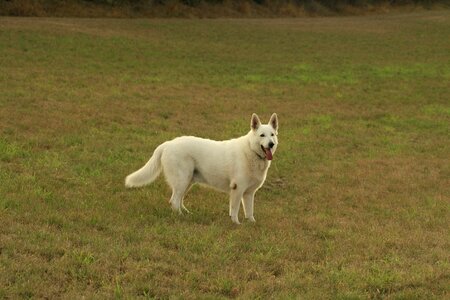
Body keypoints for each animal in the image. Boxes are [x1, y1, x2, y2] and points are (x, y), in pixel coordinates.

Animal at [124, 113, 278, 224]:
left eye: (272, 135)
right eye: (262, 135)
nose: (271, 144)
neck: (251, 151)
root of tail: (168, 143)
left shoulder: (249, 193)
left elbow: (249, 211)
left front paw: (252, 223)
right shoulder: (237, 189)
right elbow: (234, 210)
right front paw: (236, 224)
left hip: (187, 182)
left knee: (179, 200)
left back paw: (187, 214)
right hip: (182, 180)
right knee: (174, 201)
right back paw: (181, 217)